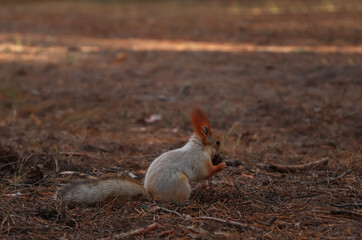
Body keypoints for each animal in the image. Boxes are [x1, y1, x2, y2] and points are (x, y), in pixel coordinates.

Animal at [55, 108, 226, 203]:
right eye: (218, 142)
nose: (222, 153)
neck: (199, 147)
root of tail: (151, 195)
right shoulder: (199, 160)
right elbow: (205, 172)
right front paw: (221, 165)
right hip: (179, 182)